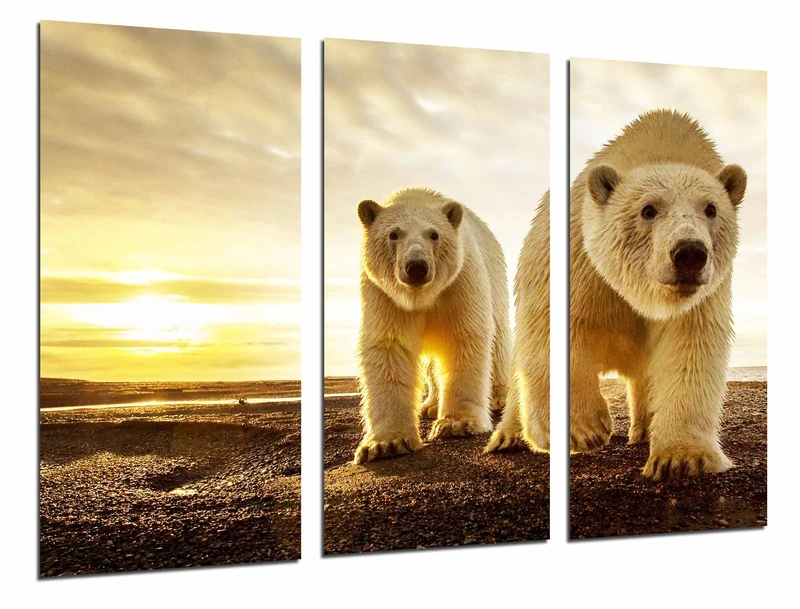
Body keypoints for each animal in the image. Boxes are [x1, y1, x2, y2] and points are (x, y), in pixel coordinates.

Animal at [353, 187, 511, 464]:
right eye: (393, 234)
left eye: (434, 234)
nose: (416, 267)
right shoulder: (383, 294)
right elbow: (388, 347)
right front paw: (385, 444)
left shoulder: (460, 279)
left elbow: (464, 336)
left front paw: (457, 424)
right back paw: (430, 405)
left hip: (496, 280)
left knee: (499, 340)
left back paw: (498, 398)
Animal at [568, 109, 747, 480]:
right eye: (648, 209)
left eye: (711, 209)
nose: (690, 253)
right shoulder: (580, 259)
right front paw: (586, 430)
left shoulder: (704, 294)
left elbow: (691, 344)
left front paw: (681, 458)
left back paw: (644, 430)